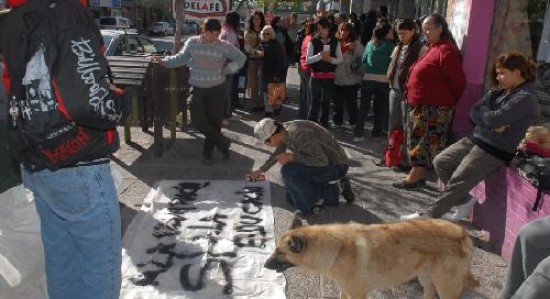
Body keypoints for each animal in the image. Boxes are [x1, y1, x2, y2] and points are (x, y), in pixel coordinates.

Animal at [266, 219, 478, 298]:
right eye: (275, 250)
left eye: (280, 252)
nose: (265, 264)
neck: (336, 249)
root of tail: (463, 233)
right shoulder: (346, 291)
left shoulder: (358, 294)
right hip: (426, 279)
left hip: (446, 286)